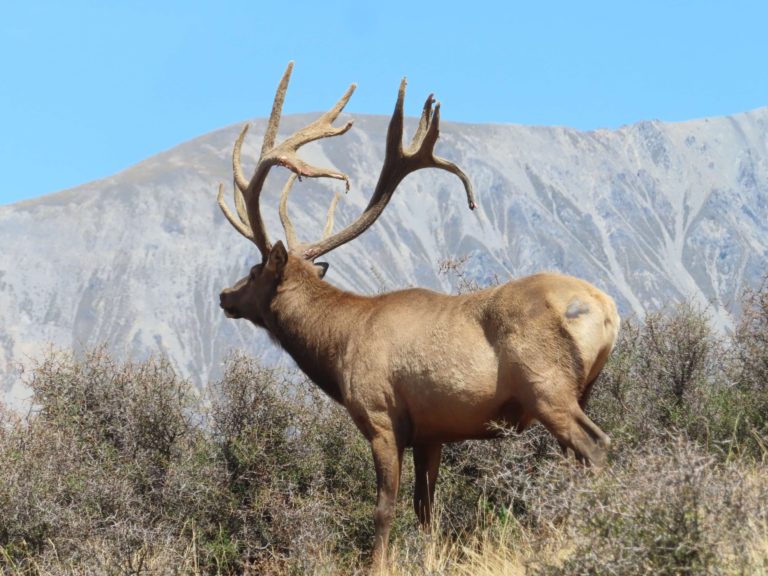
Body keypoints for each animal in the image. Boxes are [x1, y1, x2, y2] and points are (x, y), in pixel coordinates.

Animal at [217, 62, 620, 568]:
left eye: (254, 271)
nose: (224, 295)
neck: (338, 346)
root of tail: (608, 309)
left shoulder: (382, 417)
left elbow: (385, 508)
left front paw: (376, 565)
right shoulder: (433, 432)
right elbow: (427, 511)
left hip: (547, 385)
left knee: (597, 447)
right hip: (584, 388)